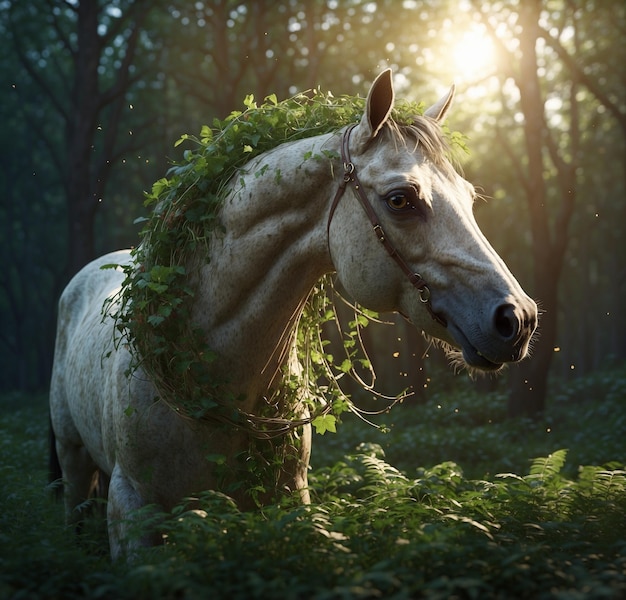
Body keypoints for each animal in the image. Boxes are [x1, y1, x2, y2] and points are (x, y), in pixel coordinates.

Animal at [48, 70, 536, 556]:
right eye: (401, 199)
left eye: (469, 198)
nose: (519, 318)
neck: (204, 374)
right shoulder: (133, 509)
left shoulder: (287, 502)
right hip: (75, 462)